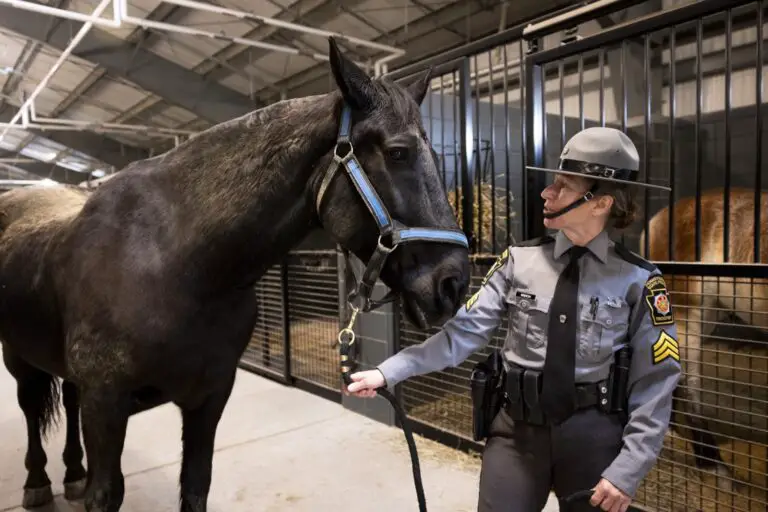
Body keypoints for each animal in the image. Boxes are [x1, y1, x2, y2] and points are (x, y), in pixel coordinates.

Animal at [0, 37, 471, 512]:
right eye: (398, 153)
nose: (454, 283)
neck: (177, 266)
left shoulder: (209, 397)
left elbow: (196, 484)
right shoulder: (105, 403)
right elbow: (105, 492)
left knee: (67, 399)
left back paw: (73, 474)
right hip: (18, 358)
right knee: (29, 407)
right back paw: (38, 483)